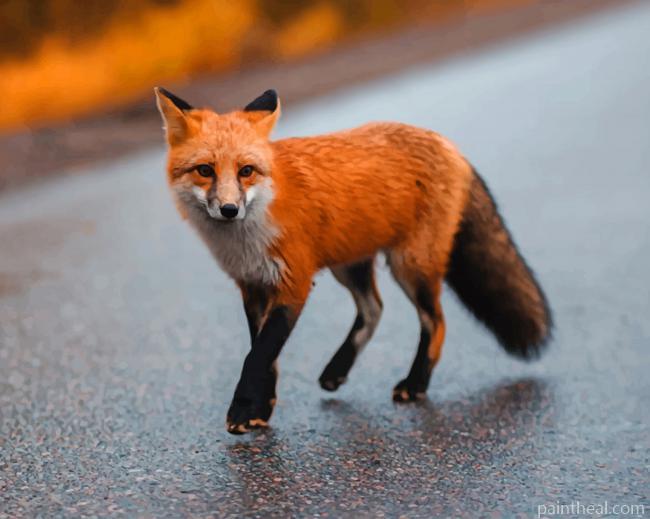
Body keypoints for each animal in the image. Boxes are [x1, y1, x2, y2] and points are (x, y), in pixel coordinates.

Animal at [155, 87, 552, 434]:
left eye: (246, 171)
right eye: (205, 170)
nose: (229, 209)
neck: (250, 234)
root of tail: (448, 145)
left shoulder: (294, 283)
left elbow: (259, 355)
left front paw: (242, 409)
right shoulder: (253, 286)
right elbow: (265, 355)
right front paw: (261, 408)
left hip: (410, 266)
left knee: (435, 322)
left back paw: (415, 383)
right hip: (349, 265)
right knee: (374, 309)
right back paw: (338, 369)